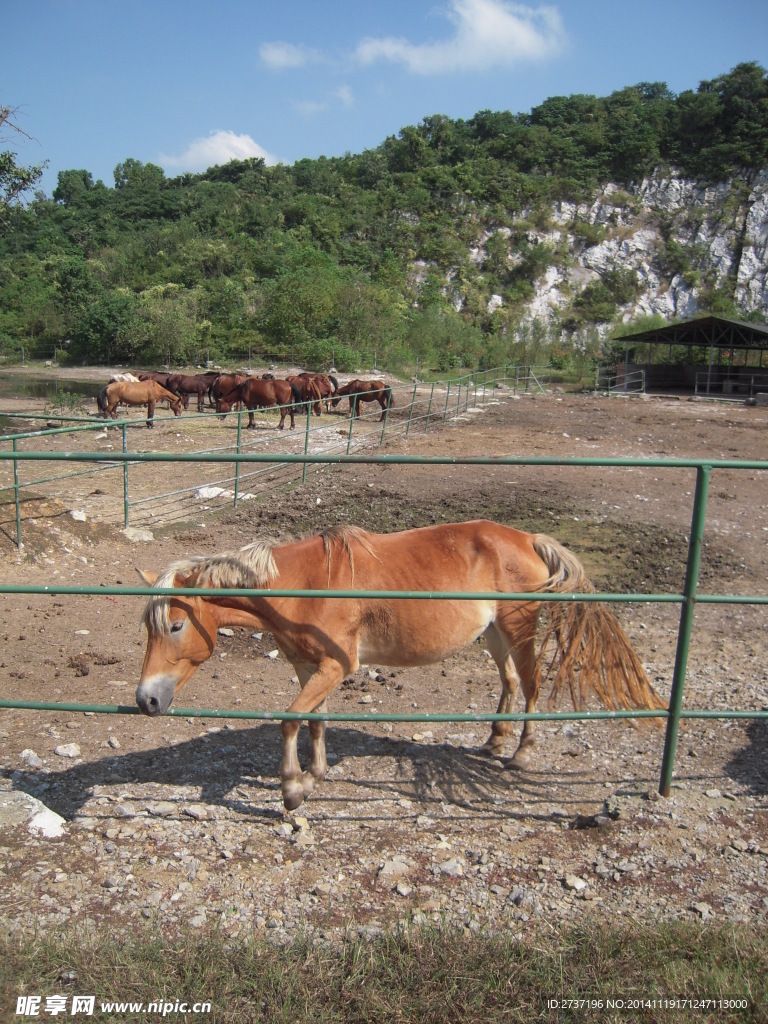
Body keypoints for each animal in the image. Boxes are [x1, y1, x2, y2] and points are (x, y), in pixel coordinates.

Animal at [135, 520, 663, 806]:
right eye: (149, 628)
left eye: (176, 626)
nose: (146, 700)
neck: (302, 585)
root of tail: (527, 538)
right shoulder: (309, 668)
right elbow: (312, 722)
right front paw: (315, 774)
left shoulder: (336, 668)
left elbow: (289, 720)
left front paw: (292, 790)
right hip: (493, 633)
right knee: (512, 680)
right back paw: (495, 740)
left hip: (518, 628)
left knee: (531, 683)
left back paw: (521, 752)